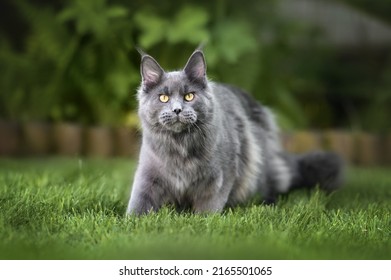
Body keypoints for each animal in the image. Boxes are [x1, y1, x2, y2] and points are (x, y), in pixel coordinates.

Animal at [127, 49, 344, 214]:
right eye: (163, 98)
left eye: (189, 96)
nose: (177, 110)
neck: (180, 148)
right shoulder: (147, 176)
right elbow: (138, 206)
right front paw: (132, 223)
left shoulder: (219, 177)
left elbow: (207, 210)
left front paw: (200, 222)